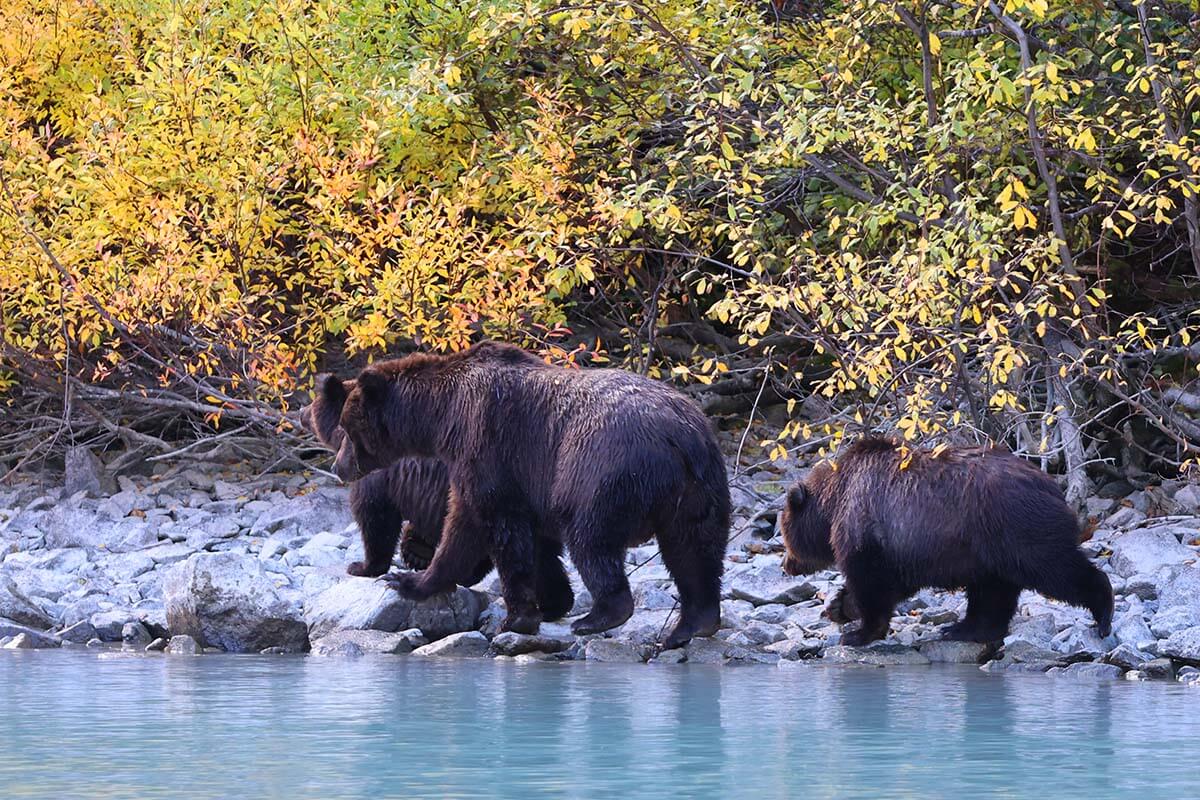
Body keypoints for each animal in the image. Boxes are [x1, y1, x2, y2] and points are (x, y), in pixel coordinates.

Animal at [297, 376, 573, 618]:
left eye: (313, 404)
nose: (300, 411)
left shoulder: (380, 473)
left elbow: (375, 515)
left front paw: (362, 566)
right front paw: (414, 551)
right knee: (543, 554)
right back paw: (555, 604)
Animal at [328, 340, 729, 647]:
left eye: (346, 428)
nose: (338, 466)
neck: (441, 416)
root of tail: (678, 436)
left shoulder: (486, 444)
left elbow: (486, 527)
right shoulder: (520, 478)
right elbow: (518, 538)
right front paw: (548, 602)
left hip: (604, 469)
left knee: (591, 539)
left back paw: (598, 616)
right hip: (700, 486)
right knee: (695, 550)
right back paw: (692, 624)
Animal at [782, 438, 1108, 652]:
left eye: (784, 534)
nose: (786, 565)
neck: (834, 500)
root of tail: (1053, 485)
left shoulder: (870, 525)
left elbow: (872, 582)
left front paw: (857, 632)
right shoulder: (904, 548)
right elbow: (890, 583)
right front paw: (838, 607)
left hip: (1017, 529)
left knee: (1055, 568)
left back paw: (1103, 613)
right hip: (988, 547)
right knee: (993, 591)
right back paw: (964, 629)